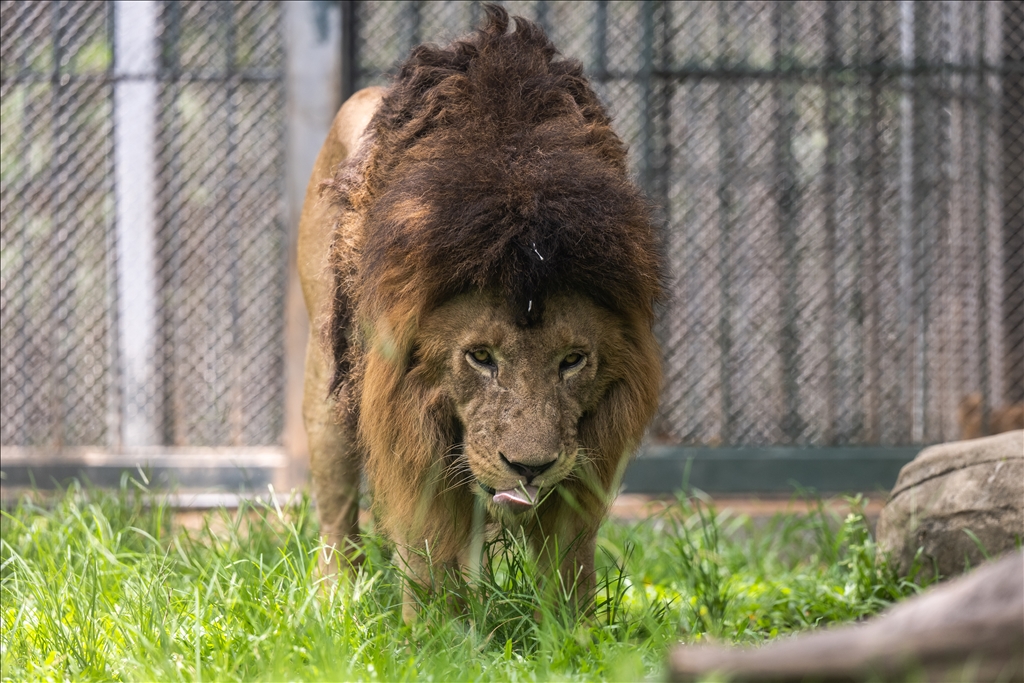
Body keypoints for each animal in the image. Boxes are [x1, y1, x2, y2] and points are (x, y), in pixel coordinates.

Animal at [296, 5, 663, 622]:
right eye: (480, 357)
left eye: (573, 360)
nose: (530, 468)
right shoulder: (403, 414)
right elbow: (426, 544)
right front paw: (434, 632)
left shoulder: (587, 453)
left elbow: (568, 557)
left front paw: (572, 631)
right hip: (328, 386)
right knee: (337, 517)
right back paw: (336, 603)